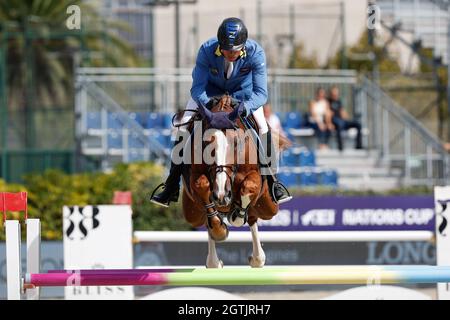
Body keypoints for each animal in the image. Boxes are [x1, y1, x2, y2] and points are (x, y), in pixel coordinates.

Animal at [179, 95, 288, 268]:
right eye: (205, 143)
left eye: (237, 142)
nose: (222, 196)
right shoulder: (195, 177)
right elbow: (202, 185)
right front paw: (219, 230)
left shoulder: (254, 179)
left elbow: (248, 187)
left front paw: (236, 216)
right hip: (192, 213)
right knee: (207, 221)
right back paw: (214, 260)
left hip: (268, 207)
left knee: (253, 218)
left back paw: (257, 258)